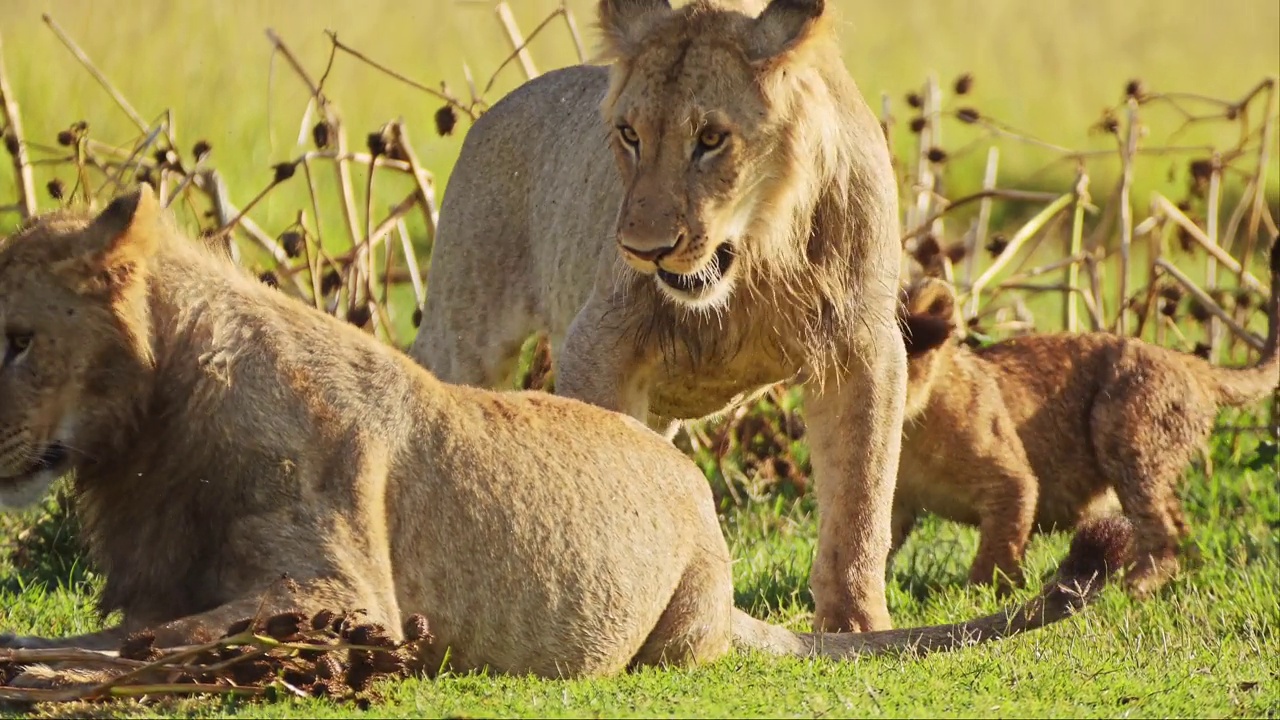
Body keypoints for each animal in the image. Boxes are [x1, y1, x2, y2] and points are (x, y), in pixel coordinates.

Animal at [409, 0, 911, 632]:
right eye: (629, 134)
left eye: (712, 138)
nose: (643, 249)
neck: (758, 254)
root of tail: (497, 111)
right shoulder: (598, 340)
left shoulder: (863, 350)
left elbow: (861, 496)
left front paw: (856, 624)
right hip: (462, 331)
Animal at [896, 242, 1274, 594]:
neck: (910, 433)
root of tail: (1191, 364)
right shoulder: (896, 499)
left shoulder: (1012, 481)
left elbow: (999, 549)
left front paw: (982, 597)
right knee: (1180, 526)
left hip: (1125, 431)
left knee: (1161, 527)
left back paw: (1134, 586)